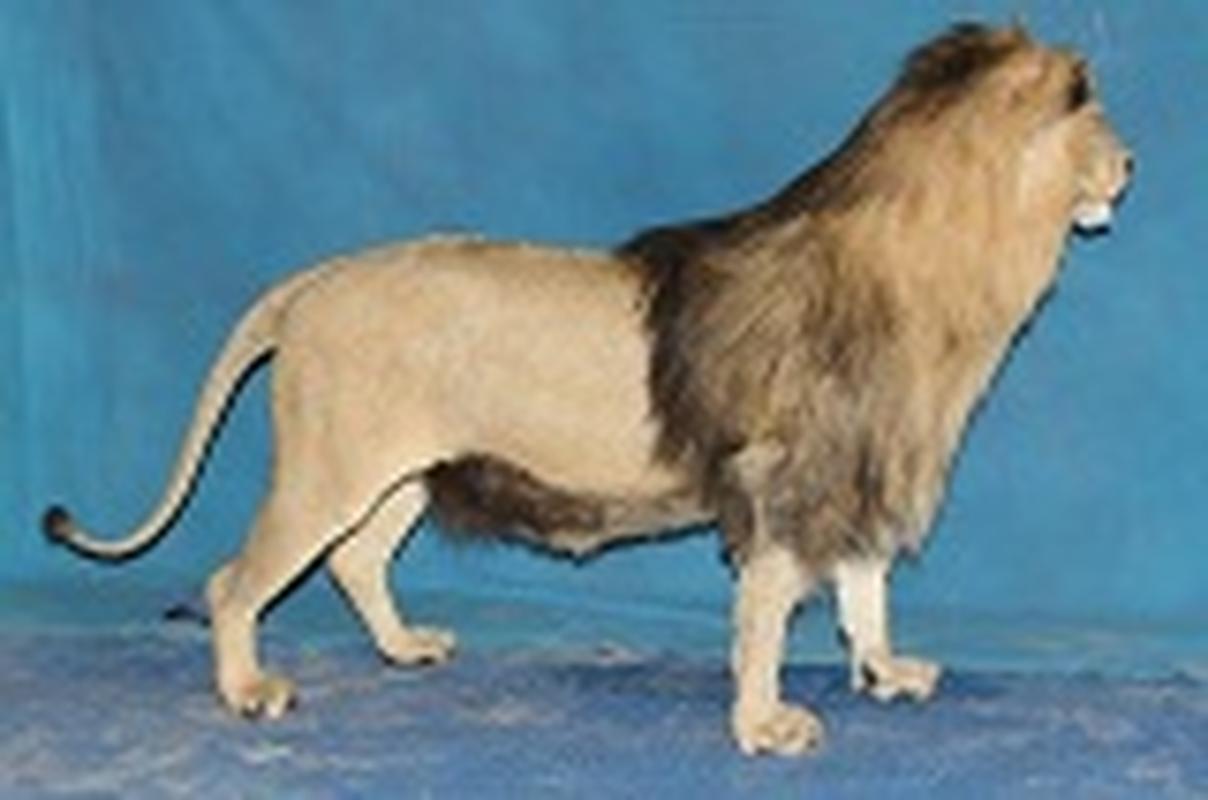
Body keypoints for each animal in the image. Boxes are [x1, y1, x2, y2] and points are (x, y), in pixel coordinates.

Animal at [43, 24, 1131, 756]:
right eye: (1092, 110)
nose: (1130, 162)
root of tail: (312, 281)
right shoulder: (783, 486)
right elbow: (766, 617)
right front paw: (764, 723)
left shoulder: (852, 476)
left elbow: (863, 592)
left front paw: (885, 672)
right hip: (328, 468)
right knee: (235, 581)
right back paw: (248, 690)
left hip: (397, 477)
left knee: (355, 561)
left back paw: (405, 647)